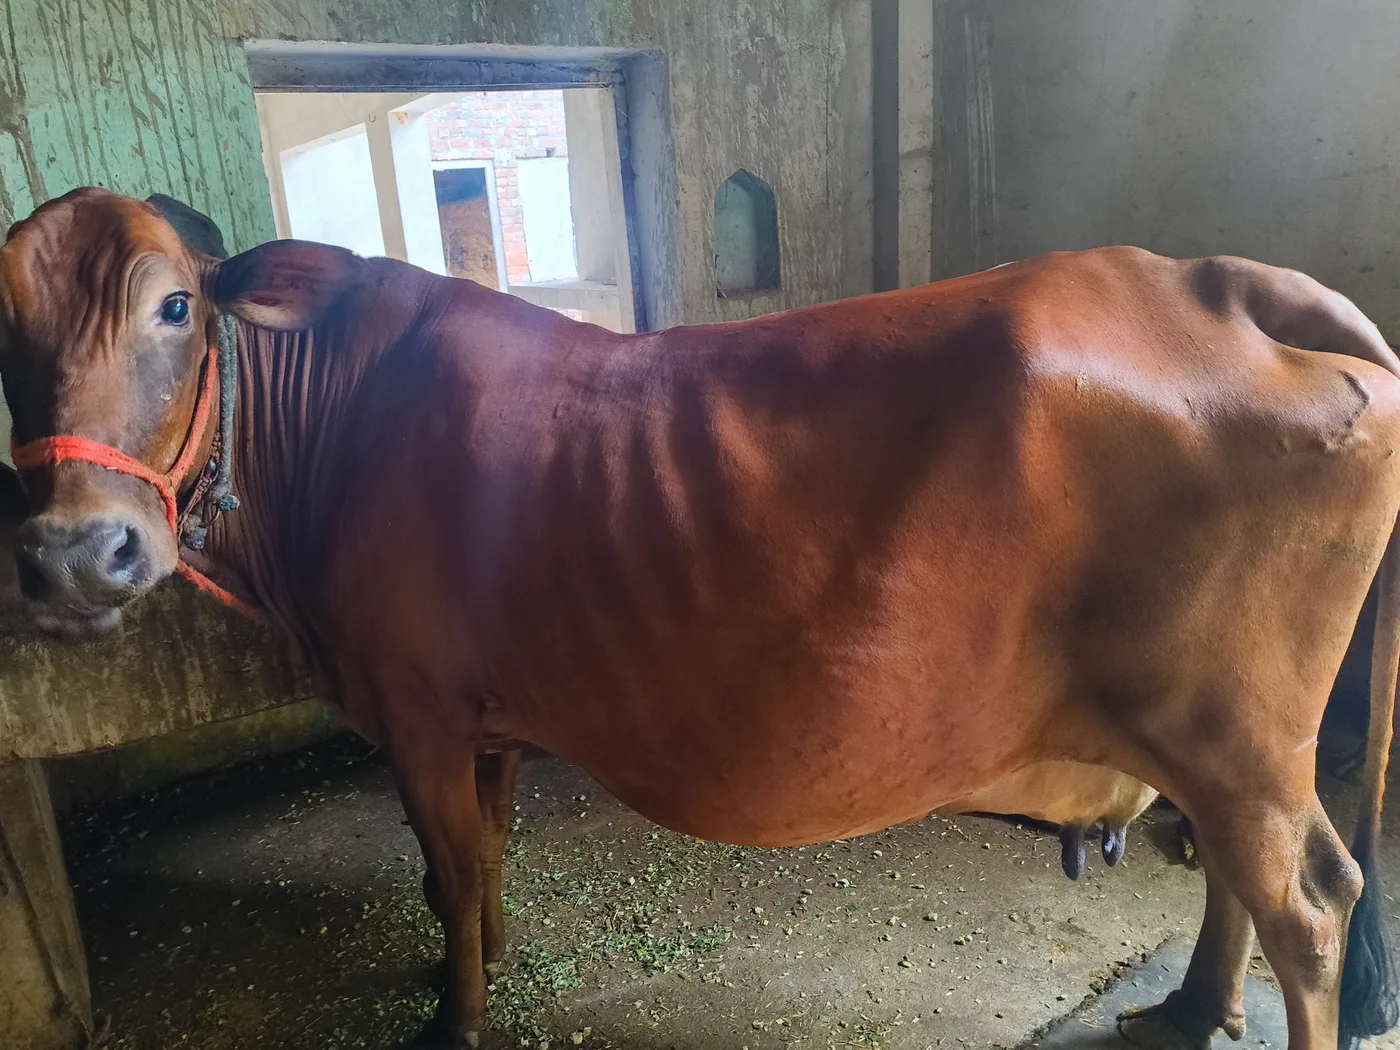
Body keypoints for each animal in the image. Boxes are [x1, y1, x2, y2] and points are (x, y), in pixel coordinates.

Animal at [1, 187, 1398, 1050]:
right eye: (2, 326)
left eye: (176, 306)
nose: (74, 552)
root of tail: (1213, 280)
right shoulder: (482, 720)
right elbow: (481, 863)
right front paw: (492, 955)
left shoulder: (414, 708)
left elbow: (444, 870)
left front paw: (454, 1016)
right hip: (1227, 742)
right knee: (1258, 878)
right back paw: (1188, 1011)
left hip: (1233, 732)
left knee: (1307, 907)